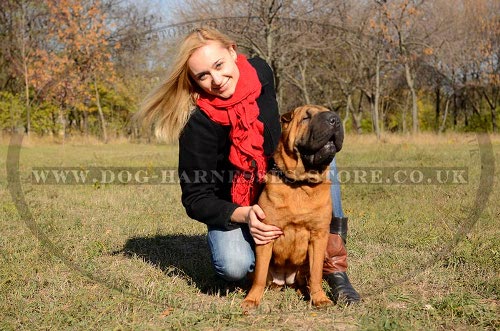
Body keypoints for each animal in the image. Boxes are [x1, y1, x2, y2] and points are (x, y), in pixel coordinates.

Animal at [241, 105, 344, 310]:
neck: (300, 184)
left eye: (331, 113)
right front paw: (251, 300)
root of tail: (285, 280)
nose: (335, 119)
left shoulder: (319, 236)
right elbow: (259, 275)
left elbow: (316, 274)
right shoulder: (266, 234)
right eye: (306, 117)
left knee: (306, 280)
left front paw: (320, 298)